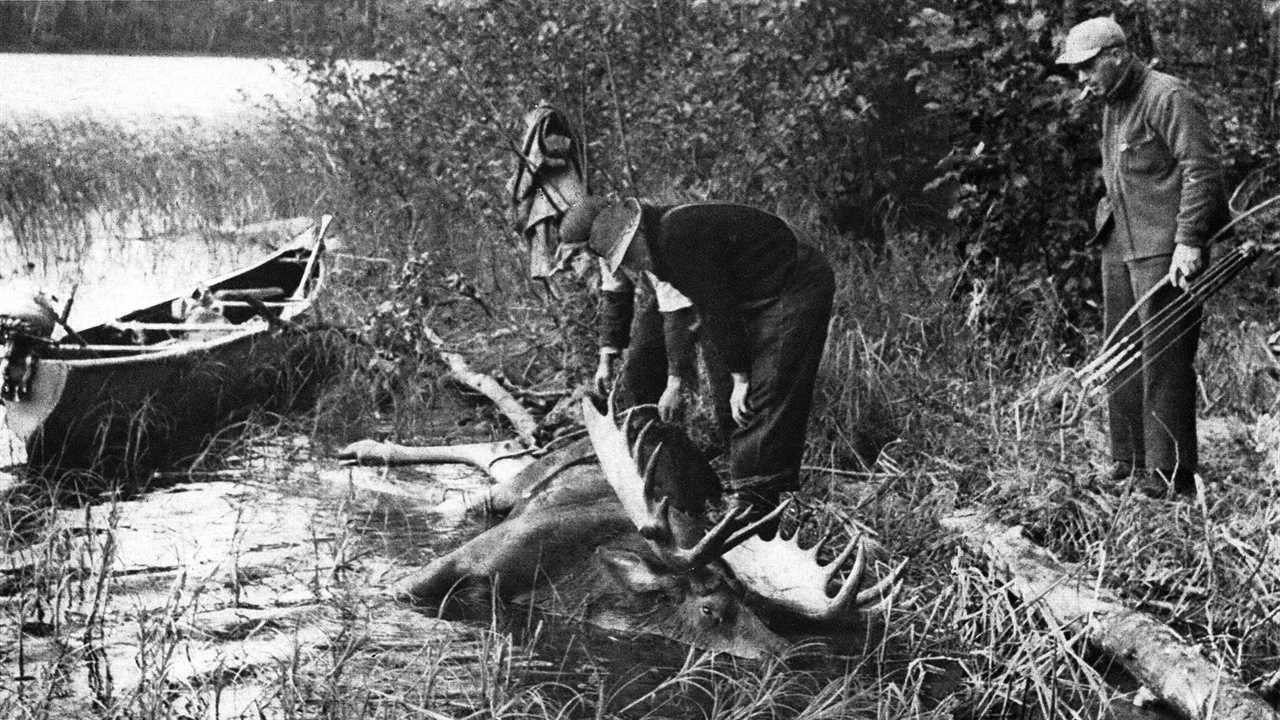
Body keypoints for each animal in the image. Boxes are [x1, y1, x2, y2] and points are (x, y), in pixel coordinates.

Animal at [340, 394, 901, 661]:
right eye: (711, 610)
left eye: (760, 610)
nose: (786, 657)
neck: (568, 590)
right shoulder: (467, 560)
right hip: (518, 485)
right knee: (486, 471)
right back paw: (365, 448)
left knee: (495, 449)